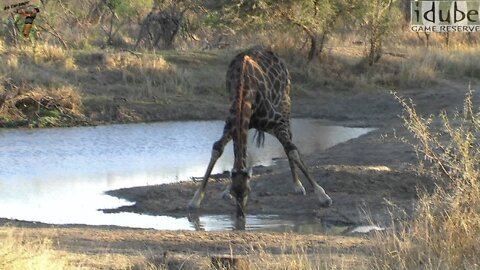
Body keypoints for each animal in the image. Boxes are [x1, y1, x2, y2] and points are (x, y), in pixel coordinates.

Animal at [188, 46, 334, 218]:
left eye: (247, 192)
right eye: (235, 192)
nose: (240, 215)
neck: (245, 90)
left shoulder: (277, 122)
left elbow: (292, 149)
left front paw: (323, 196)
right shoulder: (232, 124)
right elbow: (218, 148)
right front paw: (197, 199)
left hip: (285, 105)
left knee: (289, 142)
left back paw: (297, 185)